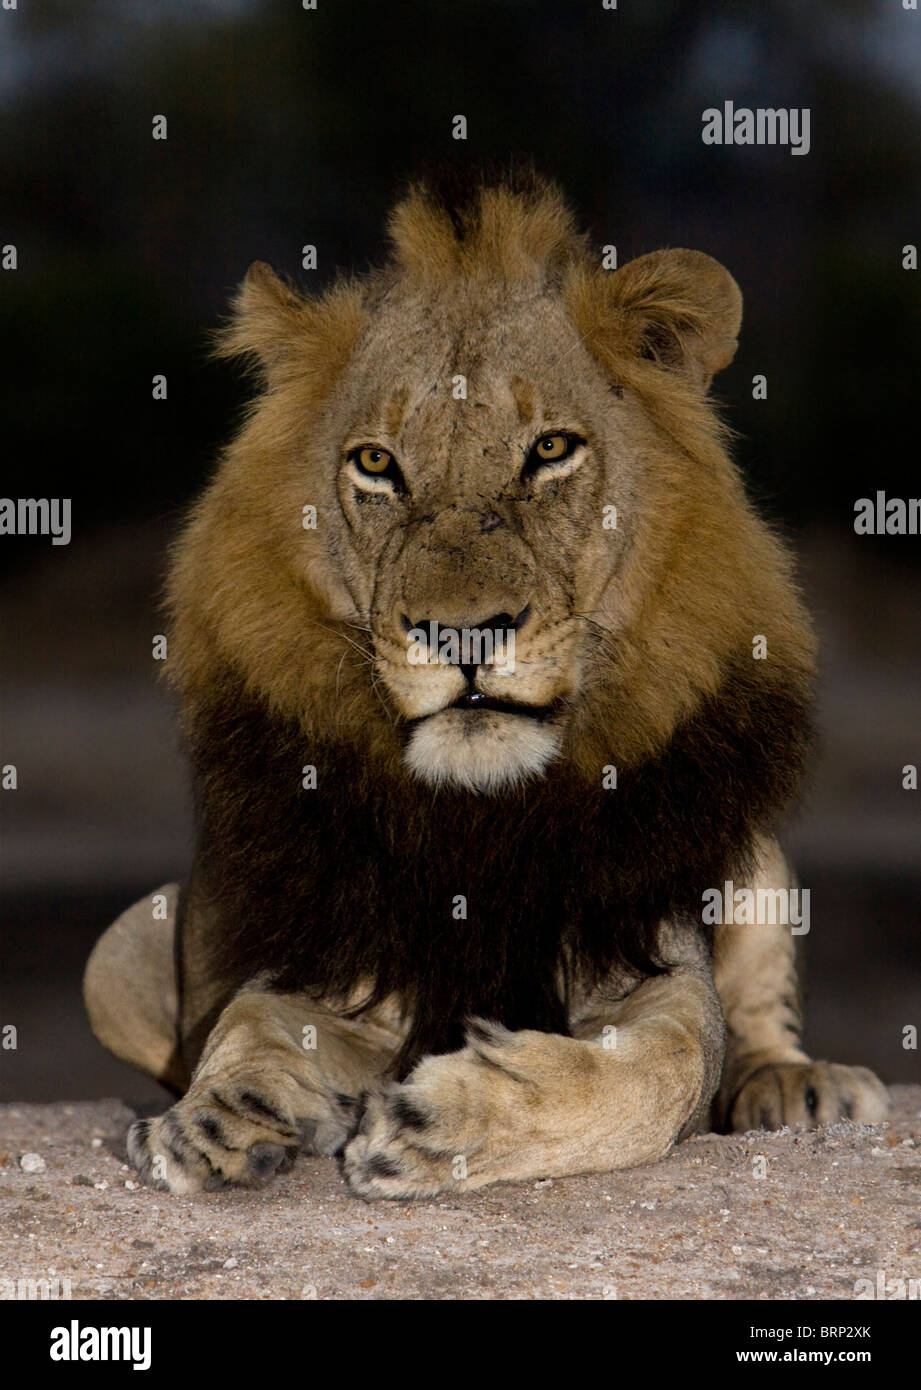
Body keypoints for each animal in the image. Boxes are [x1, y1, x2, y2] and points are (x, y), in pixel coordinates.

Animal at [83, 170, 889, 1195]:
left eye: (549, 451)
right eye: (377, 464)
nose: (460, 633)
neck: (482, 811)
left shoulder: (651, 961)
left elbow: (662, 1065)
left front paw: (443, 1122)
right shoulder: (329, 960)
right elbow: (250, 1025)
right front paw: (217, 1116)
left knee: (757, 1017)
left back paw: (801, 1085)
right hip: (119, 949)